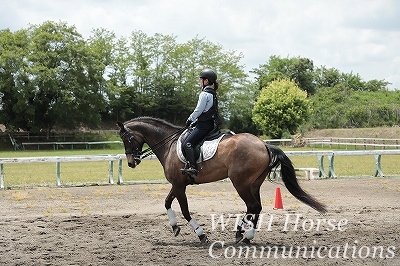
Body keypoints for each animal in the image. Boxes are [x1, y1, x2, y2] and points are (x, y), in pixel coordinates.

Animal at [116, 117, 328, 244]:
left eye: (126, 138)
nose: (131, 163)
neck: (168, 145)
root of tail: (264, 145)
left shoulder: (178, 185)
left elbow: (185, 210)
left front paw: (201, 234)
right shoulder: (178, 184)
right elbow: (167, 202)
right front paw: (175, 227)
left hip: (240, 183)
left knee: (253, 206)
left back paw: (242, 234)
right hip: (253, 184)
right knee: (255, 207)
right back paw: (245, 236)